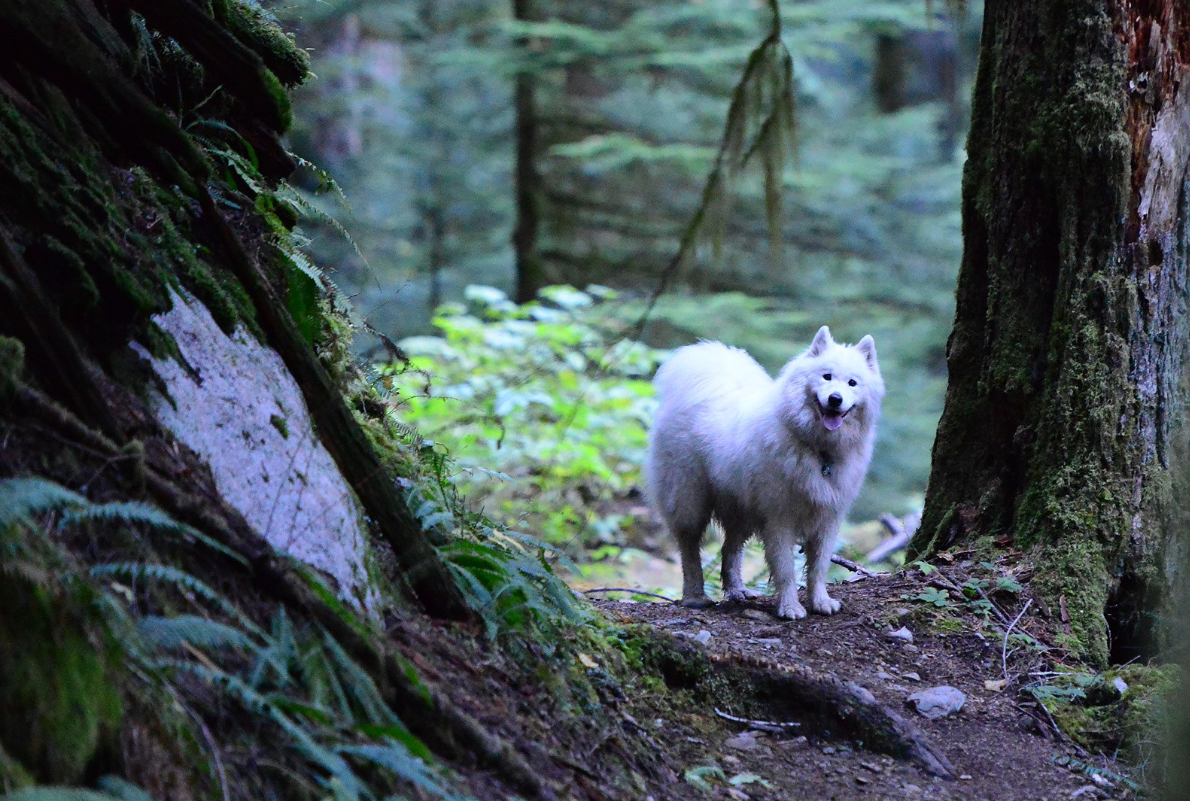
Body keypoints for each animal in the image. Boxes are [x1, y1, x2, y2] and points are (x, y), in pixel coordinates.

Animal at [647, 323, 880, 618]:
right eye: (826, 376)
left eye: (852, 383)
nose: (835, 399)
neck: (818, 449)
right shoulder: (779, 519)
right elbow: (785, 569)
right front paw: (790, 607)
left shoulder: (828, 518)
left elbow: (819, 567)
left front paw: (820, 602)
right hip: (688, 500)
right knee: (689, 549)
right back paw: (695, 596)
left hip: (741, 509)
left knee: (730, 550)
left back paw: (738, 591)